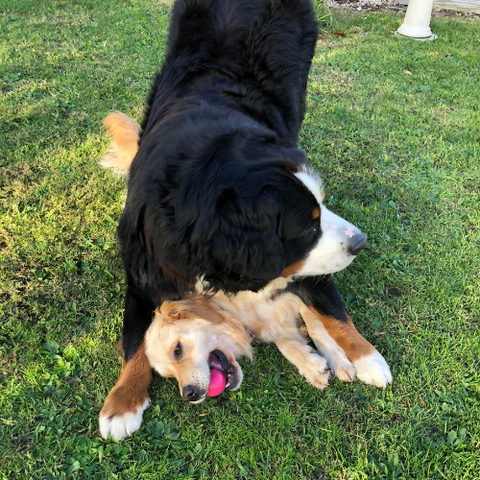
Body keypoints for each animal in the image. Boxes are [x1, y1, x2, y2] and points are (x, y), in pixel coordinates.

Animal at [97, 0, 390, 442]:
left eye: (321, 207)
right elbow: (134, 340)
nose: (360, 242)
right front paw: (122, 403)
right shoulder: (144, 268)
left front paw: (368, 357)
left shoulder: (297, 266)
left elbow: (333, 312)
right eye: (308, 226)